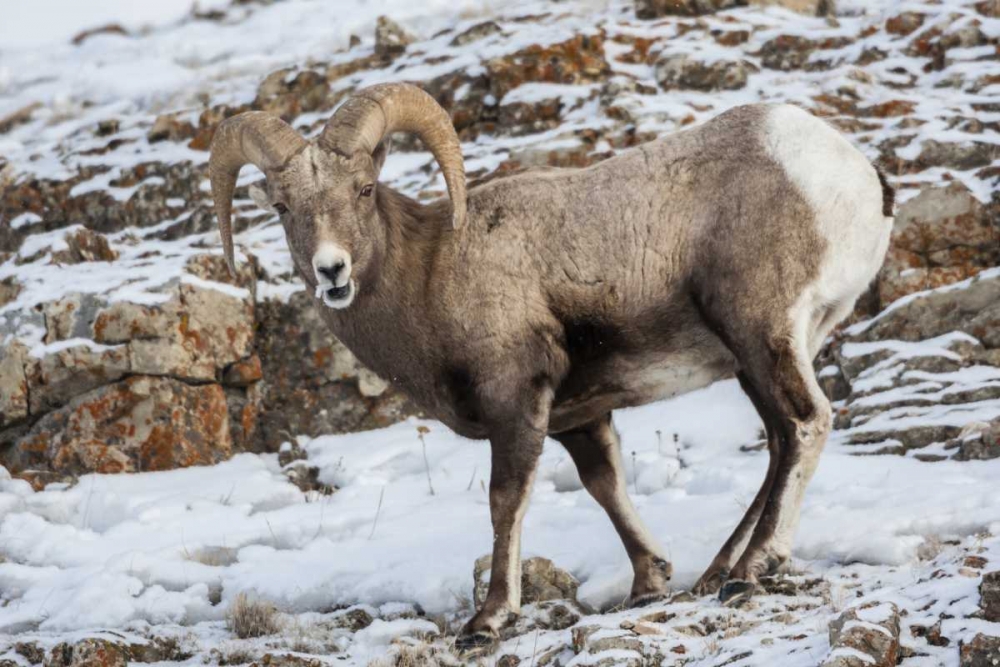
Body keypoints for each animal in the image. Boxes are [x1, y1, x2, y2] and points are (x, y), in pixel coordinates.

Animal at [208, 82, 894, 651]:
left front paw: (486, 622)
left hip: (760, 331)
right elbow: (605, 486)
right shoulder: (578, 419)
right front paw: (648, 584)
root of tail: (857, 176)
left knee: (804, 423)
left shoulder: (517, 404)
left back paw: (752, 570)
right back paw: (717, 571)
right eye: (282, 207)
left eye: (364, 190)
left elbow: (505, 502)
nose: (332, 272)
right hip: (757, 359)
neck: (429, 274)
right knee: (780, 441)